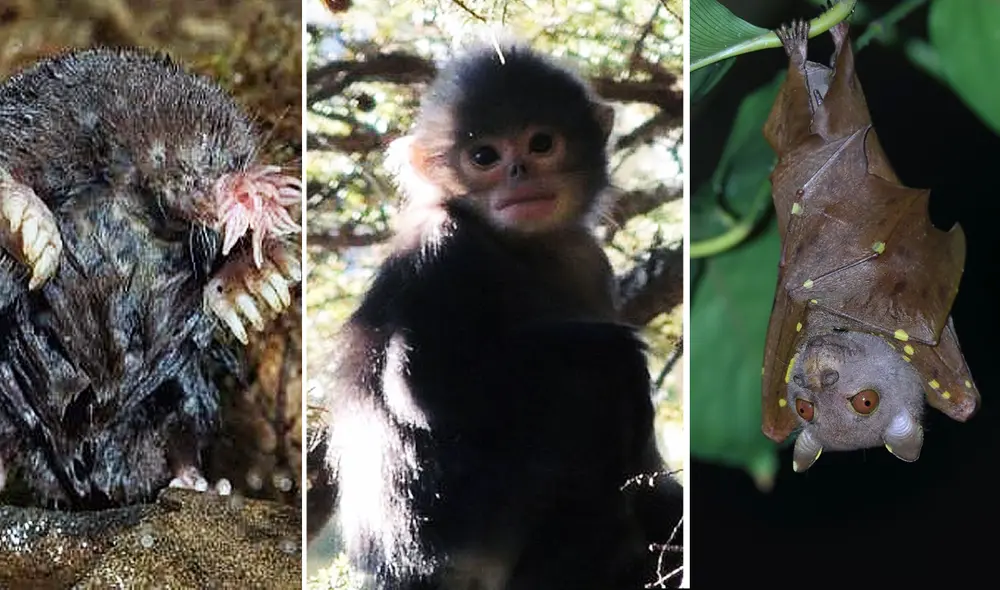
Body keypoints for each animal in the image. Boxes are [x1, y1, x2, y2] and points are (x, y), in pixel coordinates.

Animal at [0, 48, 301, 509]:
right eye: (203, 157)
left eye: (237, 159)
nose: (257, 195)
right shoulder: (43, 114)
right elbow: (16, 154)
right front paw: (27, 222)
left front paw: (256, 278)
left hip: (180, 386)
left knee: (183, 412)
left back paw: (196, 481)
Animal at [313, 42, 683, 589]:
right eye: (484, 156)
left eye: (541, 143)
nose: (519, 172)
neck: (515, 246)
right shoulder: (443, 248)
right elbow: (423, 388)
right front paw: (619, 348)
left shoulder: (589, 261)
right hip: (480, 522)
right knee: (591, 382)